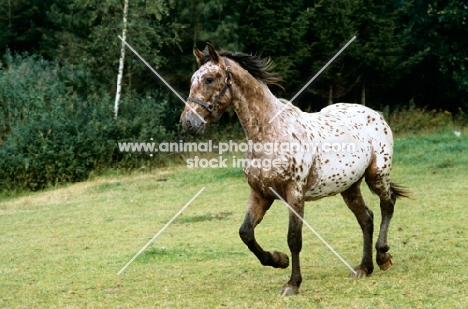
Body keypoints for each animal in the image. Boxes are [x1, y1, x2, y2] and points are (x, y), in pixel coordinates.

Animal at [180, 44, 410, 296]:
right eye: (192, 80)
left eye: (209, 79)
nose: (188, 123)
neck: (270, 133)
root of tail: (376, 114)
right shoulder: (260, 193)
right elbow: (246, 233)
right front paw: (278, 260)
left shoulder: (294, 193)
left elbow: (294, 238)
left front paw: (292, 284)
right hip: (349, 186)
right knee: (366, 218)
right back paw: (363, 268)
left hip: (377, 175)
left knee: (387, 204)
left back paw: (383, 256)